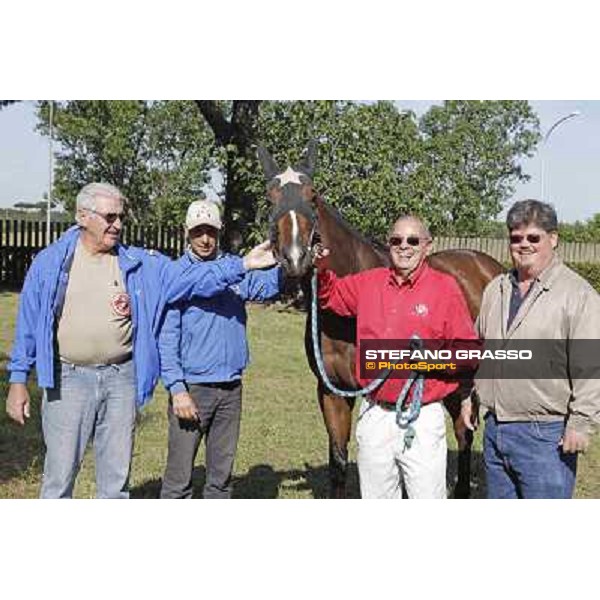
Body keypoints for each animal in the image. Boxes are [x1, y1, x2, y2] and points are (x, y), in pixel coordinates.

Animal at [258, 143, 506, 500]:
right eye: (270, 197)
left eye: (313, 195)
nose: (295, 257)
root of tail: (488, 265)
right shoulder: (332, 391)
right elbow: (338, 462)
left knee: (465, 432)